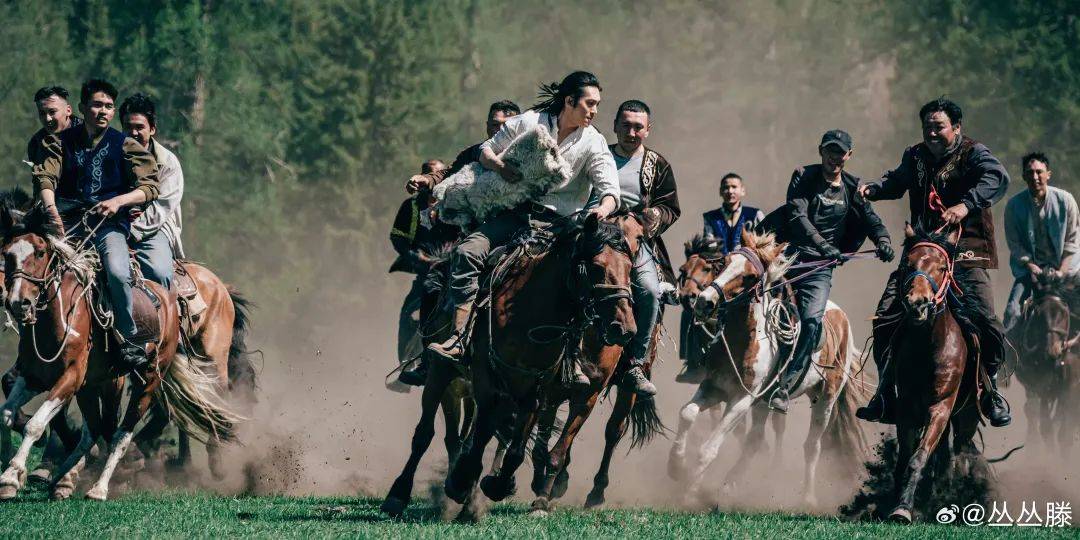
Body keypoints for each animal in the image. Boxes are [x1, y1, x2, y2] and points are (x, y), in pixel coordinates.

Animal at [0, 203, 240, 501]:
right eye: (7, 253)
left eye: (40, 252)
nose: (18, 302)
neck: (62, 315)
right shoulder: (35, 375)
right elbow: (7, 413)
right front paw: (13, 474)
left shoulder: (71, 378)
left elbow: (37, 424)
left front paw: (12, 476)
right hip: (94, 385)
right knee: (95, 428)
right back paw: (65, 478)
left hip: (164, 375)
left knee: (124, 433)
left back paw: (101, 485)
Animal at [440, 211, 635, 518]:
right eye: (596, 267)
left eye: (629, 267)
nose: (624, 329)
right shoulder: (488, 381)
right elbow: (481, 437)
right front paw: (461, 484)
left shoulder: (540, 389)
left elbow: (523, 450)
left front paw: (501, 486)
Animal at [669, 230, 864, 507]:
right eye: (724, 263)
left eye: (750, 276)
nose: (704, 302)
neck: (743, 338)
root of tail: (842, 319)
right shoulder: (714, 388)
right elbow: (687, 413)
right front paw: (675, 465)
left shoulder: (741, 400)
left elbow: (708, 449)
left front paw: (690, 493)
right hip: (763, 403)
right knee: (755, 440)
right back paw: (730, 485)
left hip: (826, 398)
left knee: (812, 446)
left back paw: (808, 497)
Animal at [881, 224, 989, 522]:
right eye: (908, 264)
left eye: (942, 267)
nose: (918, 303)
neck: (928, 345)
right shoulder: (907, 406)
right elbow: (906, 458)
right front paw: (897, 503)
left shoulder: (940, 407)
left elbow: (918, 457)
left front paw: (903, 508)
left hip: (967, 416)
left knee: (959, 452)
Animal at [1006, 274, 1075, 455]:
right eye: (1038, 313)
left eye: (1063, 312)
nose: (1054, 349)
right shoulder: (1038, 384)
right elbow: (1039, 416)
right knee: (1032, 410)